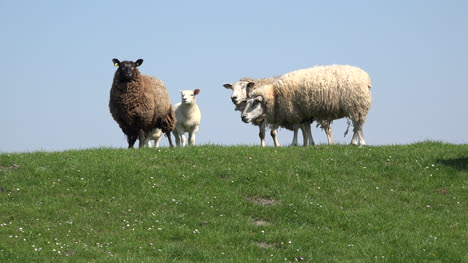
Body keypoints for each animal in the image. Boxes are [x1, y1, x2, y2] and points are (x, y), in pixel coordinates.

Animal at [243, 64, 372, 145]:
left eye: (255, 102)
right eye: (247, 102)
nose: (243, 117)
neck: (275, 95)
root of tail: (366, 78)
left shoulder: (295, 111)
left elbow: (296, 128)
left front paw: (294, 143)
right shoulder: (305, 112)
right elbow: (307, 128)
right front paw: (311, 143)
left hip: (356, 105)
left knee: (357, 125)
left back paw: (357, 142)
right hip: (357, 107)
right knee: (358, 125)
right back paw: (358, 142)